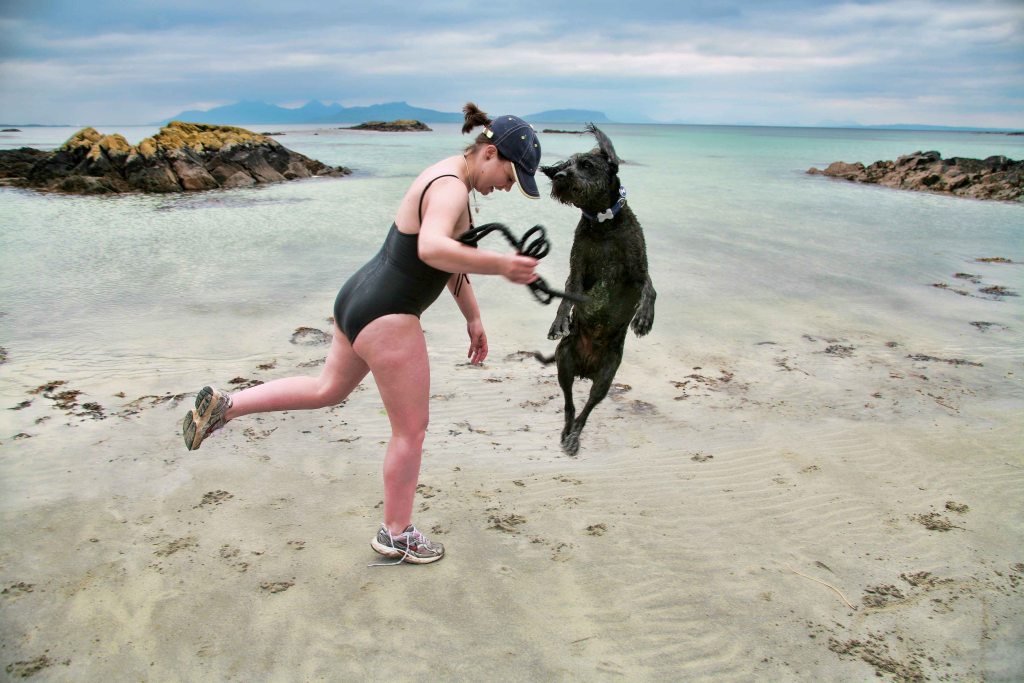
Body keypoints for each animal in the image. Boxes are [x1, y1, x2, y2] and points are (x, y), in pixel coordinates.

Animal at [535, 124, 656, 456]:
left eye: (587, 165)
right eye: (565, 165)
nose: (560, 176)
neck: (603, 226)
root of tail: (586, 370)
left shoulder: (638, 270)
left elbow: (650, 290)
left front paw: (644, 318)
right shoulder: (577, 272)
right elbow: (566, 298)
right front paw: (559, 322)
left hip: (605, 376)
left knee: (588, 407)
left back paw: (575, 436)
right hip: (564, 363)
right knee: (570, 405)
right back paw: (568, 433)